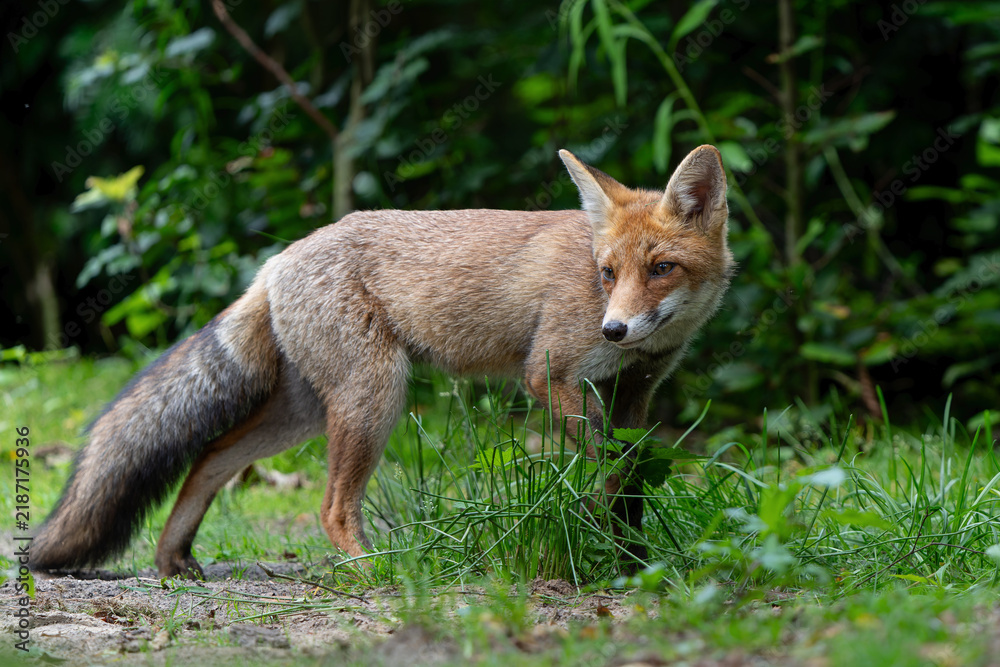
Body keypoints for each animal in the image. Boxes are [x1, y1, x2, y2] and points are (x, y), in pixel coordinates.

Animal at [30, 145, 734, 579]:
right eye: (608, 272)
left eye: (661, 268)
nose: (614, 329)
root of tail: (278, 259)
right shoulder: (550, 375)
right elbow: (609, 468)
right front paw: (605, 543)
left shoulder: (635, 392)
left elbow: (631, 474)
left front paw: (631, 559)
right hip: (373, 397)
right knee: (330, 507)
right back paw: (378, 570)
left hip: (304, 414)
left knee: (207, 458)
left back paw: (174, 561)